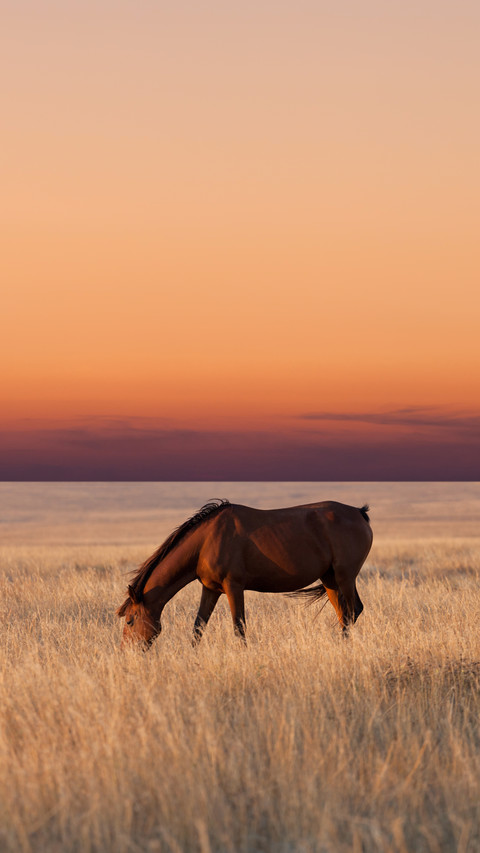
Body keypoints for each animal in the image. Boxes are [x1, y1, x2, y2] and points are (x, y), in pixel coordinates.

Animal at [117, 499, 373, 648]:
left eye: (130, 620)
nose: (128, 653)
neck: (206, 541)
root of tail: (359, 513)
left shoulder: (234, 587)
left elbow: (239, 627)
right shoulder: (210, 589)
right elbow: (198, 627)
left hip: (344, 577)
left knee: (352, 611)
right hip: (330, 579)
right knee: (344, 614)